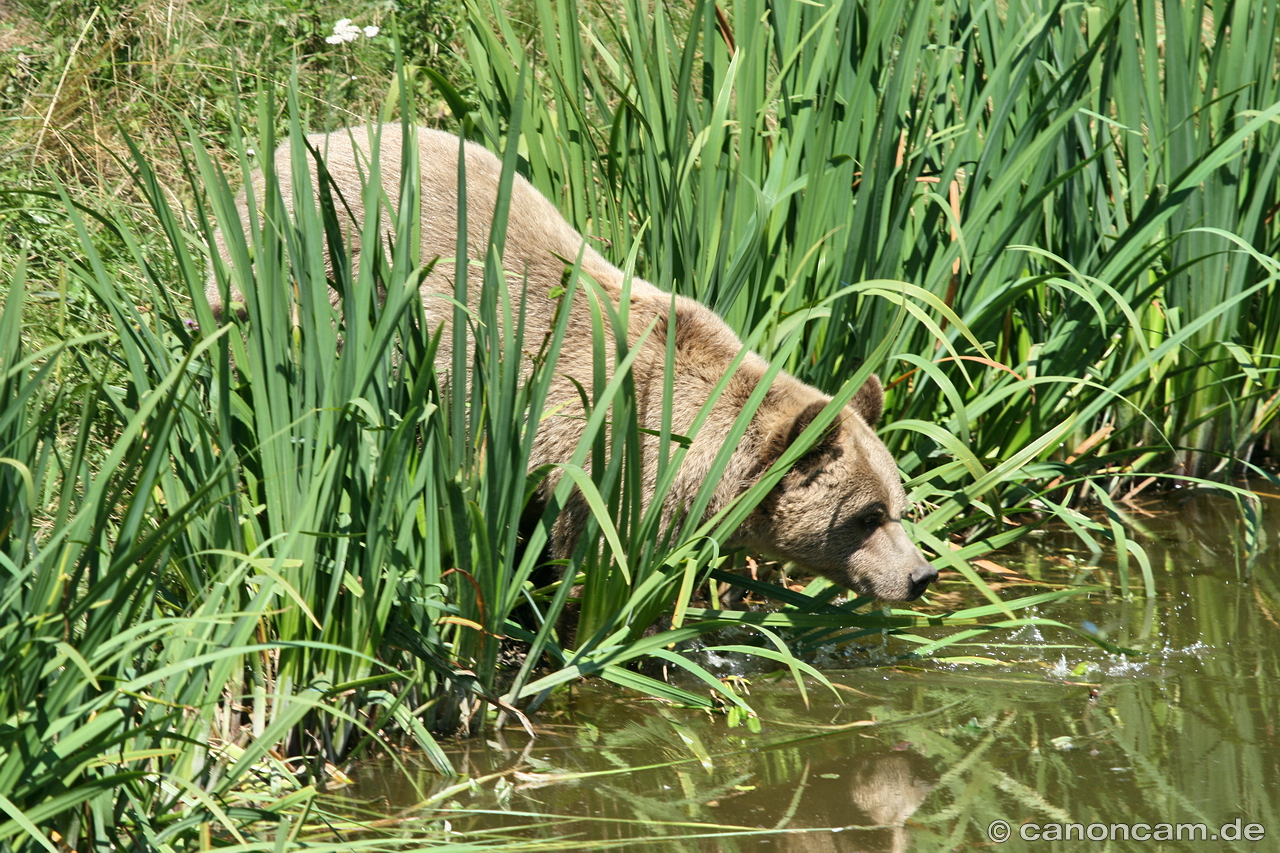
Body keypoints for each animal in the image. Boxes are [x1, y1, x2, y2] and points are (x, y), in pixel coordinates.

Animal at [204, 124, 936, 596]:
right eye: (866, 516)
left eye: (900, 504)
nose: (921, 576)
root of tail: (286, 147)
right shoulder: (596, 460)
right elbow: (584, 565)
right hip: (306, 276)